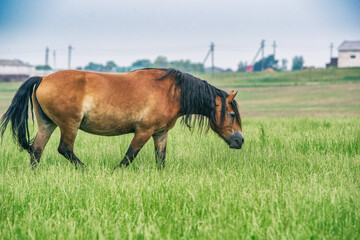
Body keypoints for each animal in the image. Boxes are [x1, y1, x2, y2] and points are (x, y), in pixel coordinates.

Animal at [0, 67, 245, 170]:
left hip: (47, 124)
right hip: (70, 125)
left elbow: (161, 159)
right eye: (232, 114)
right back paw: (87, 170)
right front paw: (115, 172)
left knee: (36, 150)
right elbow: (130, 156)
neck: (172, 92)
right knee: (65, 149)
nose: (240, 140)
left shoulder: (160, 133)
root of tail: (42, 78)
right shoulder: (144, 131)